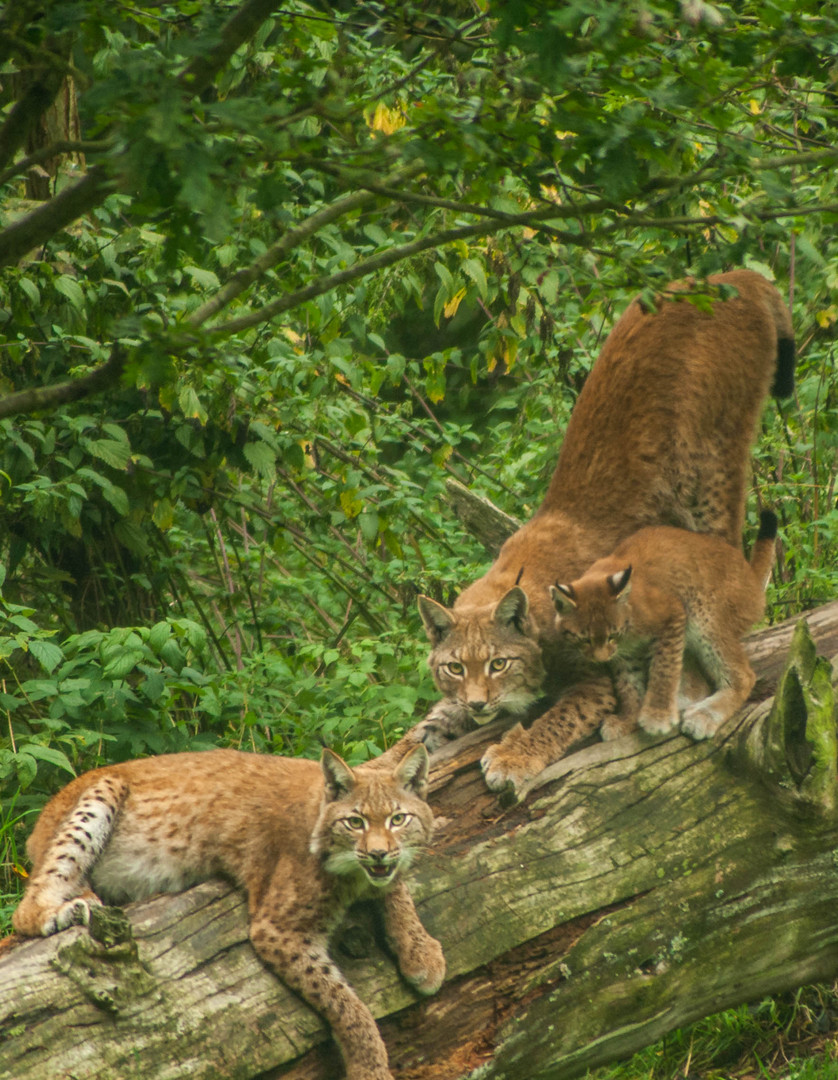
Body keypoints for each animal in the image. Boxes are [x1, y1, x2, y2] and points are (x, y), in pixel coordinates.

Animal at [14, 743, 444, 1080]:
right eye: (355, 822)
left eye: (398, 819)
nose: (378, 852)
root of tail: (40, 820)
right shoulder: (276, 928)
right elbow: (347, 1005)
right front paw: (371, 1068)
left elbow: (396, 887)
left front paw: (422, 953)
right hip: (106, 788)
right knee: (24, 908)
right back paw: (66, 910)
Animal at [550, 509, 777, 738]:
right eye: (584, 639)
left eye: (612, 635)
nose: (601, 659)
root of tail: (750, 575)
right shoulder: (625, 651)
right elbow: (628, 684)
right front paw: (628, 719)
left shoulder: (672, 614)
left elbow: (663, 668)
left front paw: (656, 717)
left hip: (703, 614)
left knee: (745, 675)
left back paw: (704, 715)